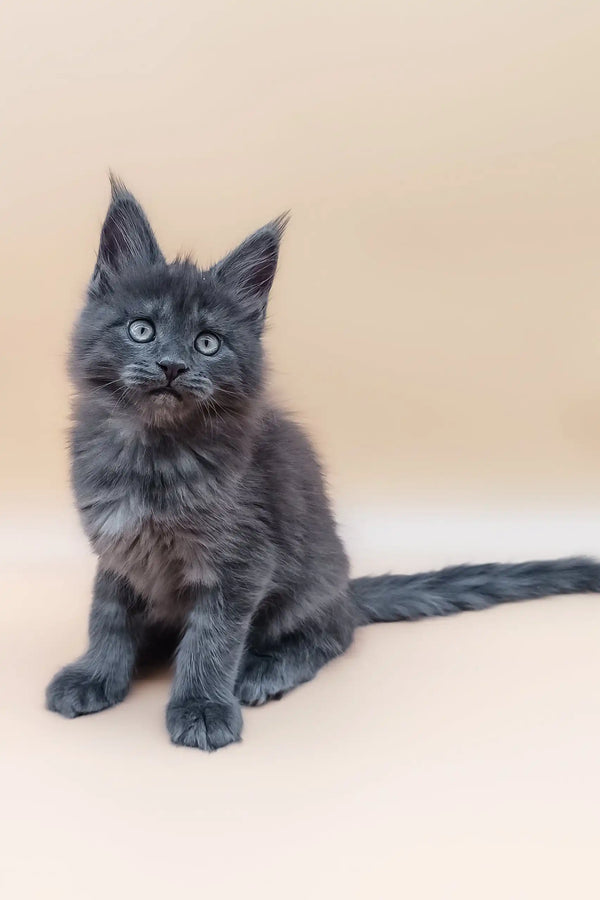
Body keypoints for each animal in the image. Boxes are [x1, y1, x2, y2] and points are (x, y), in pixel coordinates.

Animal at [45, 179, 600, 748]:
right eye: (141, 330)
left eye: (208, 343)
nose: (172, 366)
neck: (153, 455)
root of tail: (346, 591)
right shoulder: (117, 547)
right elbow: (108, 617)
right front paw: (95, 674)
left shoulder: (243, 562)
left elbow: (212, 641)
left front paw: (201, 707)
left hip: (307, 586)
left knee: (331, 635)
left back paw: (264, 669)